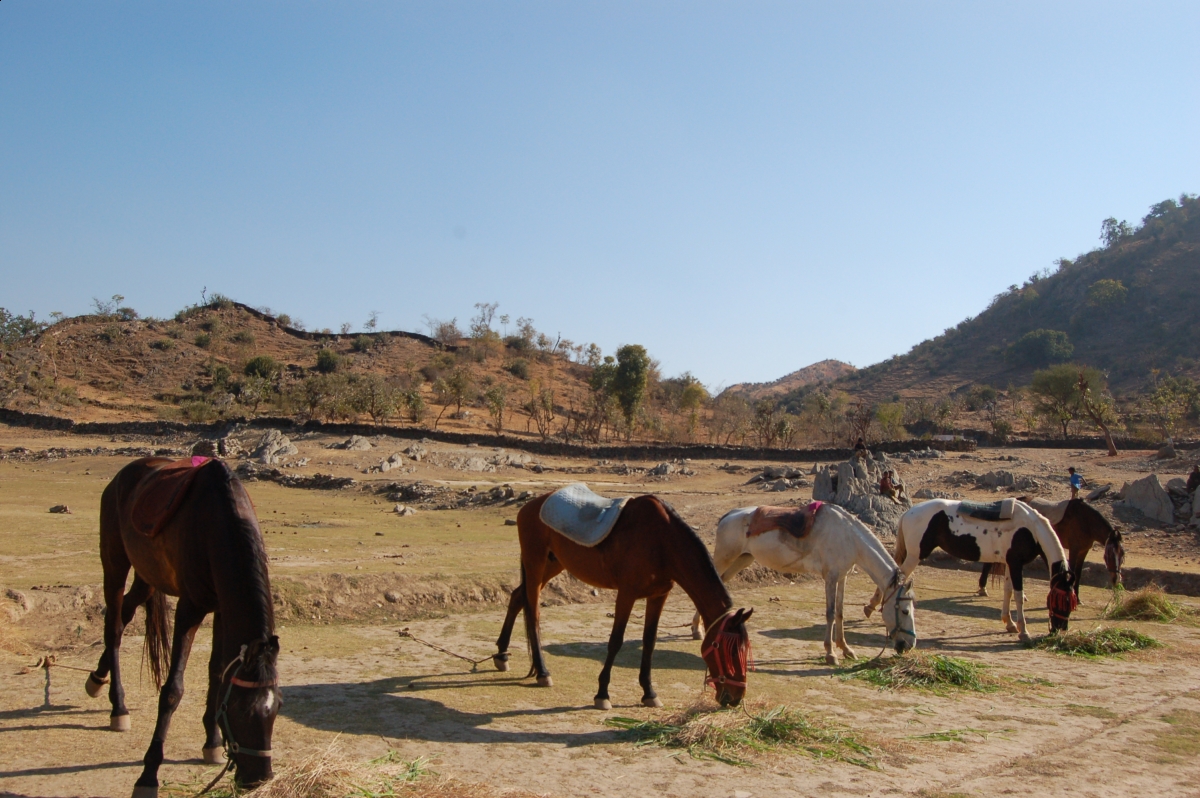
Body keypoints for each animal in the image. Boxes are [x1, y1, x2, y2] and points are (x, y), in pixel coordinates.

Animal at [87, 457, 280, 798]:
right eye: (242, 711)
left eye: (276, 708)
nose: (258, 779)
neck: (216, 525)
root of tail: (124, 474)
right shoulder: (190, 608)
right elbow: (172, 690)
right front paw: (148, 775)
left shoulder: (221, 606)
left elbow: (218, 672)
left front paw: (212, 743)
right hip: (115, 563)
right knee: (113, 627)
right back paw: (118, 707)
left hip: (146, 578)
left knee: (125, 615)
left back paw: (97, 680)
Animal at [493, 491, 754, 710]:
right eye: (727, 649)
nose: (736, 697)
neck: (662, 541)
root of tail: (530, 507)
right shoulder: (626, 593)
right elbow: (616, 640)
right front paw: (602, 694)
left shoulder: (658, 595)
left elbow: (649, 641)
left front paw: (649, 692)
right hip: (535, 562)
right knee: (533, 613)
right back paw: (542, 672)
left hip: (553, 564)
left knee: (517, 597)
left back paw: (502, 655)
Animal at [689, 503, 917, 665]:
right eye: (905, 611)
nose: (909, 645)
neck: (848, 537)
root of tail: (728, 516)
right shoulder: (830, 577)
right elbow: (830, 613)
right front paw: (830, 653)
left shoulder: (842, 577)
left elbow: (841, 613)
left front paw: (846, 649)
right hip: (725, 559)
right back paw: (697, 629)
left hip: (741, 560)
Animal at [864, 499, 1076, 642]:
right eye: (1061, 601)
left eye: (1071, 602)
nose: (1060, 629)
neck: (1030, 529)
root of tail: (909, 512)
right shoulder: (1016, 564)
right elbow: (1018, 595)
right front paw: (1024, 631)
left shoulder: (1010, 563)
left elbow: (1007, 591)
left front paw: (1009, 623)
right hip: (915, 556)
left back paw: (873, 606)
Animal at [976, 498, 1124, 600]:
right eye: (1108, 555)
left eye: (1122, 556)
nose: (1116, 579)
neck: (1085, 521)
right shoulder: (1074, 549)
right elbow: (1073, 570)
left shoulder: (1083, 551)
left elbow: (1079, 573)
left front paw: (1078, 598)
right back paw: (983, 588)